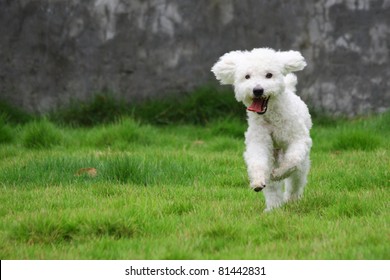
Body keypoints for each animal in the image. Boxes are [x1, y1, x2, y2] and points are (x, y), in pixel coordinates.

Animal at [212, 47, 312, 210]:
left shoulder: (298, 139)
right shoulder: (259, 141)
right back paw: (273, 208)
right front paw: (258, 181)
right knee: (272, 187)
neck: (271, 116)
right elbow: (257, 161)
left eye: (269, 75)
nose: (257, 90)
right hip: (272, 156)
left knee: (296, 179)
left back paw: (291, 199)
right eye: (247, 76)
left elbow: (292, 160)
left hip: (299, 164)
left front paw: (279, 173)